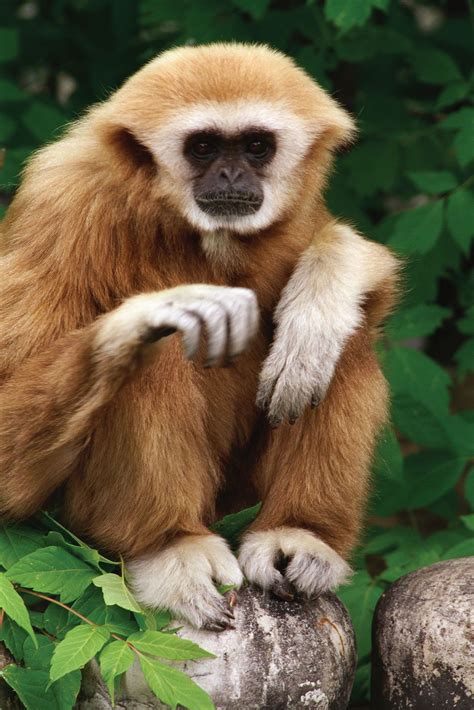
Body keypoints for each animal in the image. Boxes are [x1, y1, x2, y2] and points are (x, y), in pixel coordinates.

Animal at [0, 43, 399, 630]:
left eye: (256, 145)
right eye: (204, 146)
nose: (231, 173)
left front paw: (321, 296)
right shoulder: (61, 204)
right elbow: (13, 470)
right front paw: (152, 311)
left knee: (346, 343)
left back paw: (299, 531)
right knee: (157, 353)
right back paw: (170, 546)